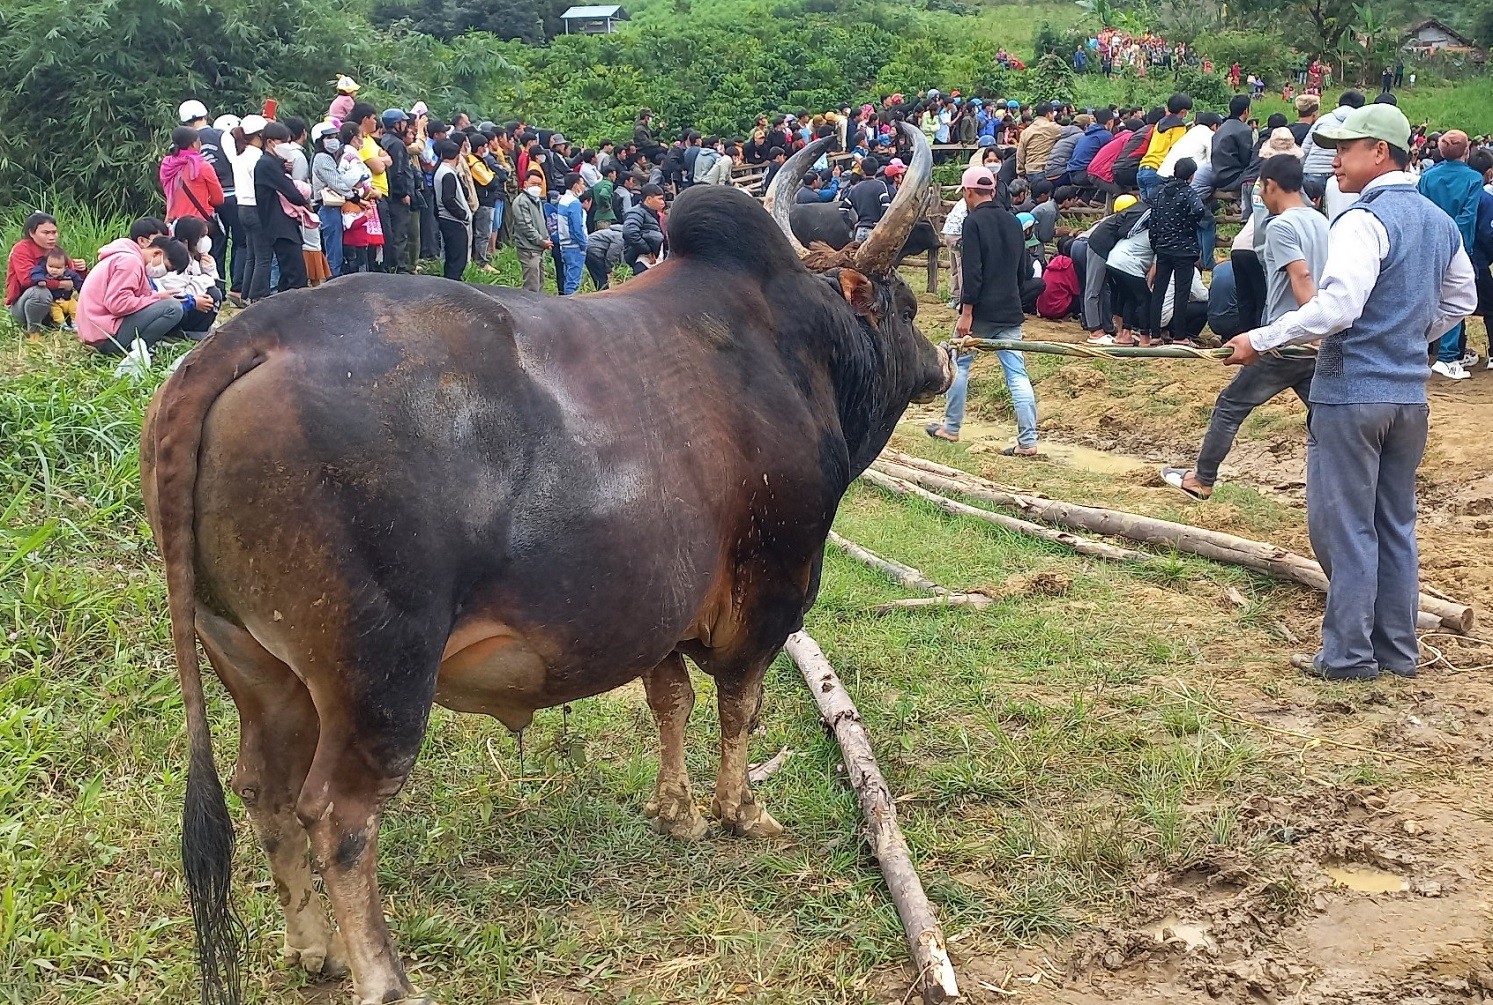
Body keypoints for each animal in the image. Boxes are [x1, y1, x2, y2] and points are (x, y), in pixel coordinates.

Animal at [148, 121, 943, 997]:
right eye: (905, 306)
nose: (941, 365)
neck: (797, 353)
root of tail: (248, 338)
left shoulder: (659, 610)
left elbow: (671, 702)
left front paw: (676, 810)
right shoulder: (771, 591)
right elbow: (740, 705)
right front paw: (740, 812)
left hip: (255, 662)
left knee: (265, 789)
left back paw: (310, 944)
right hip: (377, 680)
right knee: (337, 815)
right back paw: (385, 975)